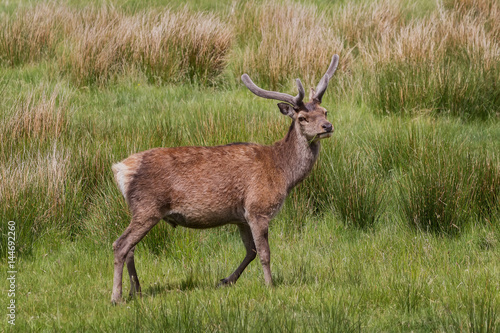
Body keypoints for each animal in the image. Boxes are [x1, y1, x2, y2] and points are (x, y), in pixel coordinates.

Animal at [111, 53, 338, 304]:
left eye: (325, 111)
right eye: (302, 118)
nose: (327, 126)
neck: (283, 173)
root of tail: (121, 169)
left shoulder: (240, 216)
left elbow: (251, 251)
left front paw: (226, 280)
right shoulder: (258, 208)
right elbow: (265, 252)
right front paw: (270, 286)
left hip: (140, 210)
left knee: (131, 248)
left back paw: (136, 291)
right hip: (148, 207)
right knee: (120, 244)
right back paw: (116, 296)